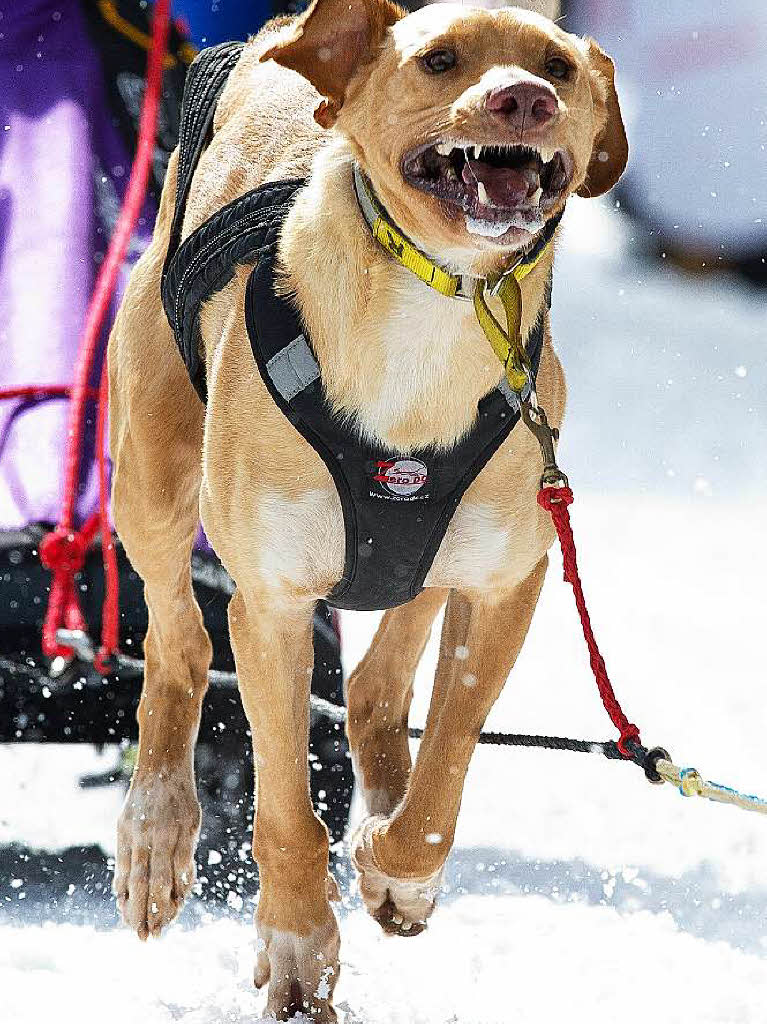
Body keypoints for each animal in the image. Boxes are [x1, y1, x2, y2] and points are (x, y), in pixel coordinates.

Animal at [105, 4, 622, 1019]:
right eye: (440, 59)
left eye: (556, 65)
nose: (524, 99)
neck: (432, 314)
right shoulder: (270, 607)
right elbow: (280, 803)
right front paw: (298, 948)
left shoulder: (505, 585)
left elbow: (447, 757)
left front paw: (394, 867)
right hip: (148, 473)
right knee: (178, 643)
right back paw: (157, 830)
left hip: (425, 563)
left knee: (378, 688)